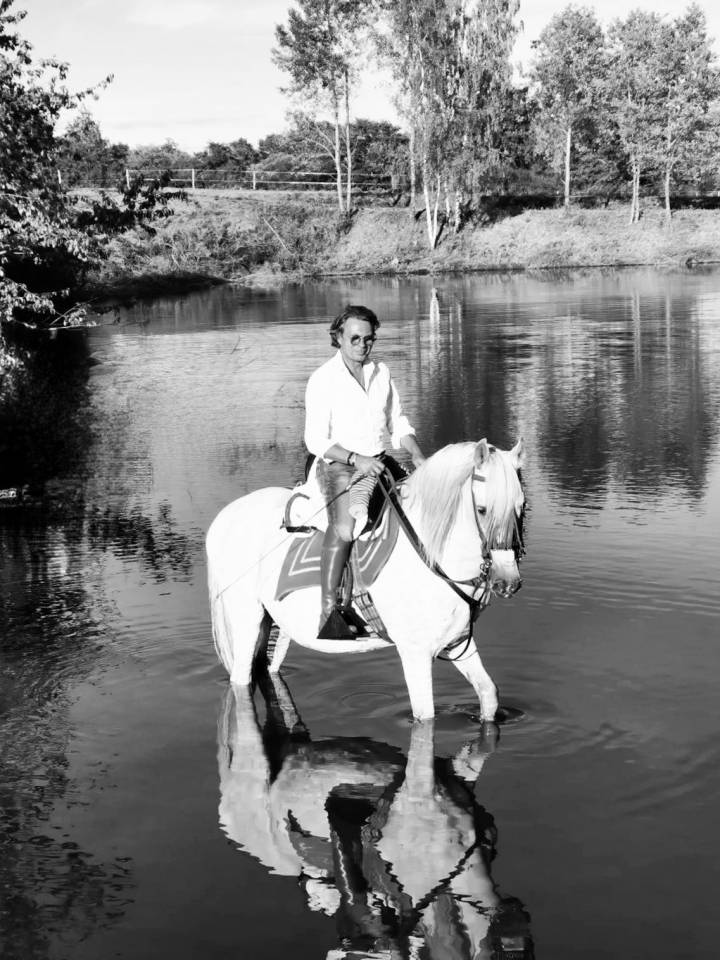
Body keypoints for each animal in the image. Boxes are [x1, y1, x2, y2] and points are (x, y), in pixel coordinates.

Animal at [206, 438, 525, 721]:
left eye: (521, 505)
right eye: (482, 509)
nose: (507, 582)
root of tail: (225, 516)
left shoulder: (458, 642)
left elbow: (489, 694)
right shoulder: (415, 653)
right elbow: (425, 719)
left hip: (270, 621)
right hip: (246, 619)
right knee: (240, 681)